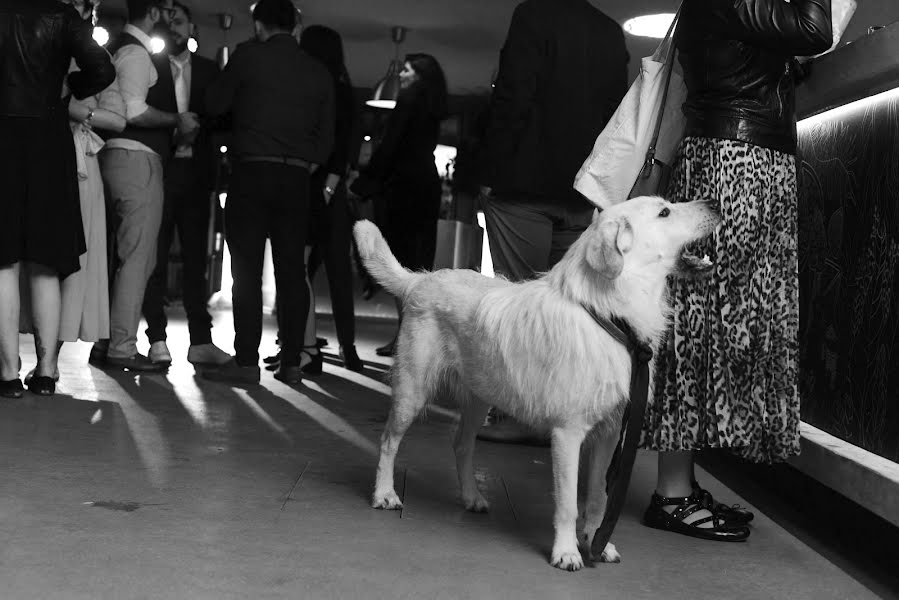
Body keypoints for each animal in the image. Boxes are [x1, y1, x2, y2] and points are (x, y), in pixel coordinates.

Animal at [356, 195, 720, 568]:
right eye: (664, 211)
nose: (713, 203)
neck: (607, 316)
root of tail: (420, 280)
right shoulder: (568, 435)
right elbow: (567, 504)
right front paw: (566, 551)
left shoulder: (608, 435)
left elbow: (597, 499)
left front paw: (597, 542)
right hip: (412, 392)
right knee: (388, 441)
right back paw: (384, 493)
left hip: (480, 399)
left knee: (461, 445)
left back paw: (472, 496)